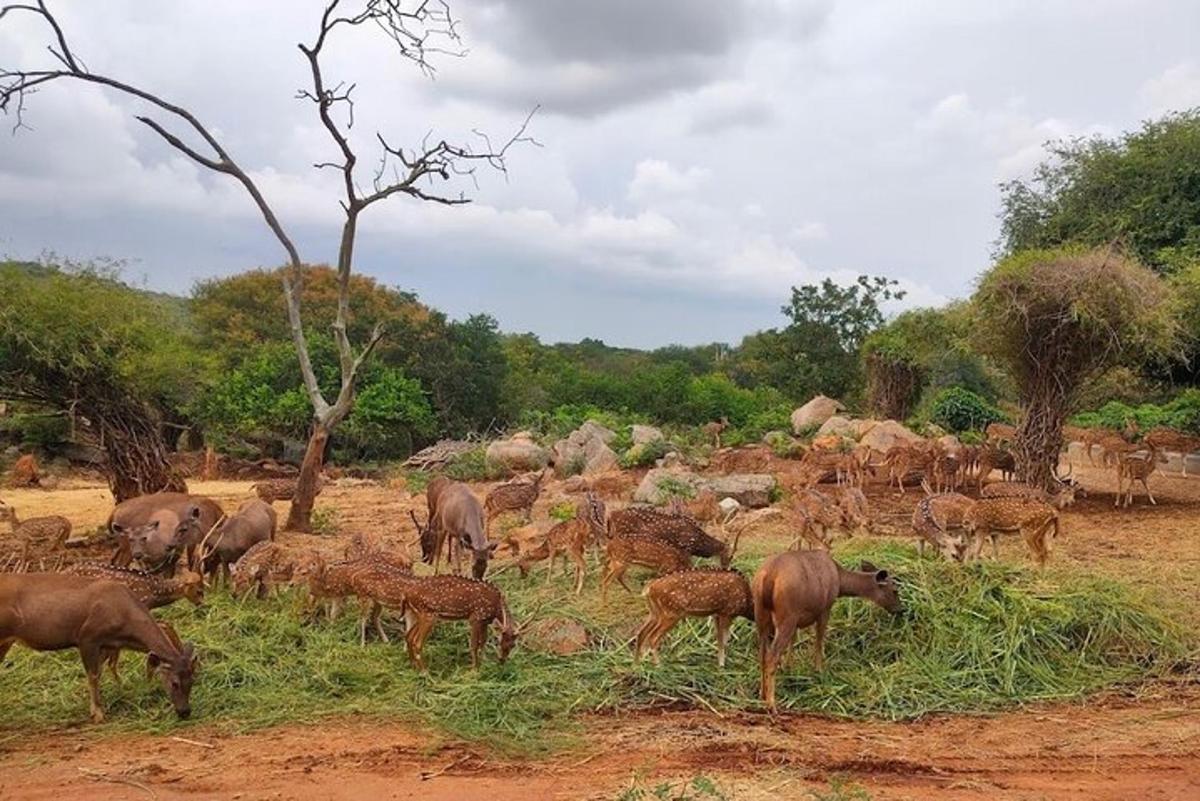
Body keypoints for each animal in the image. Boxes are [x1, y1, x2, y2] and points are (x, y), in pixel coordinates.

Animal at [0, 573, 196, 724]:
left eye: (192, 680)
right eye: (174, 683)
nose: (185, 712)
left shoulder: (107, 644)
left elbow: (100, 672)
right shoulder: (87, 637)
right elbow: (93, 676)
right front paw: (98, 714)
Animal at [748, 551, 902, 714]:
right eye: (895, 590)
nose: (901, 609)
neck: (840, 581)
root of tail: (768, 577)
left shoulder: (797, 620)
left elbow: (793, 640)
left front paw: (789, 668)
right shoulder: (825, 608)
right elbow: (819, 640)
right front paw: (819, 671)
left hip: (761, 614)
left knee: (762, 653)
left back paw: (762, 693)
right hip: (786, 614)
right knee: (772, 655)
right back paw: (771, 703)